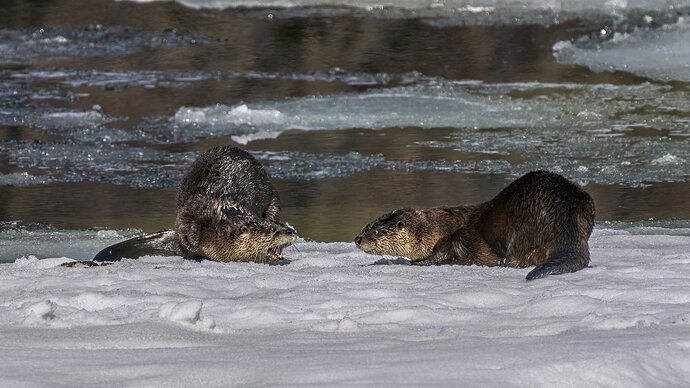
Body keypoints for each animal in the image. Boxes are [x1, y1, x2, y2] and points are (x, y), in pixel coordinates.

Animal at [352, 171, 592, 280]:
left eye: (375, 231)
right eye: (365, 227)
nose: (357, 239)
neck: (436, 228)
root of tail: (564, 213)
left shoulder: (454, 237)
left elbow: (443, 252)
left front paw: (419, 263)